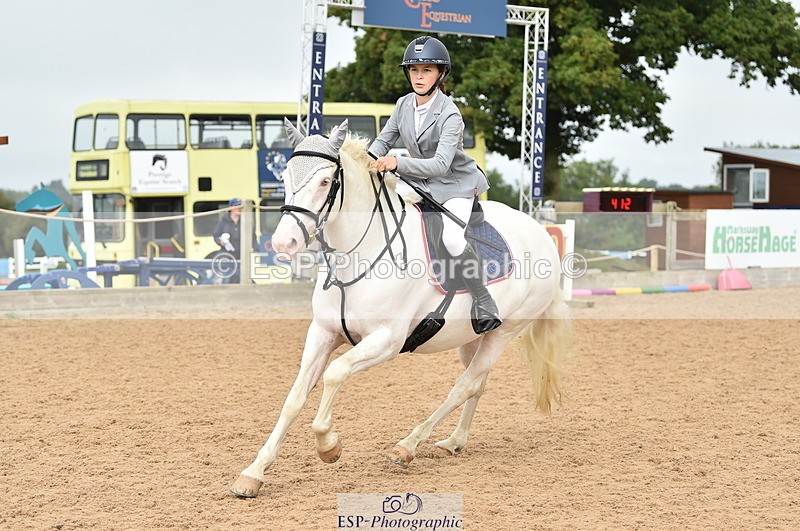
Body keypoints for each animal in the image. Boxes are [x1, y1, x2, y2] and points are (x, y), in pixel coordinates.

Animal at [230, 119, 570, 498]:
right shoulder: (322, 333)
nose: (283, 242)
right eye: (286, 178)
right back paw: (454, 441)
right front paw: (253, 473)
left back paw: (407, 446)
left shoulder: (387, 340)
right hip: (471, 337)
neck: (359, 255)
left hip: (506, 331)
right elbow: (293, 398)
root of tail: (541, 233)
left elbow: (334, 373)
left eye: (325, 182)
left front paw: (328, 445)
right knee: (476, 383)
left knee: (464, 385)